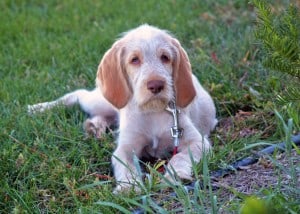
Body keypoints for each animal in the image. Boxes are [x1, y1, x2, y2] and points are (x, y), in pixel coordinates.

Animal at [28, 24, 217, 192]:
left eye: (165, 57)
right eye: (134, 59)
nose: (156, 85)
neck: (152, 112)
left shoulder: (198, 142)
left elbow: (180, 156)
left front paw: (174, 175)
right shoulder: (125, 148)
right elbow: (126, 166)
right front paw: (128, 187)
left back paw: (94, 126)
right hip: (102, 101)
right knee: (78, 94)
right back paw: (38, 108)